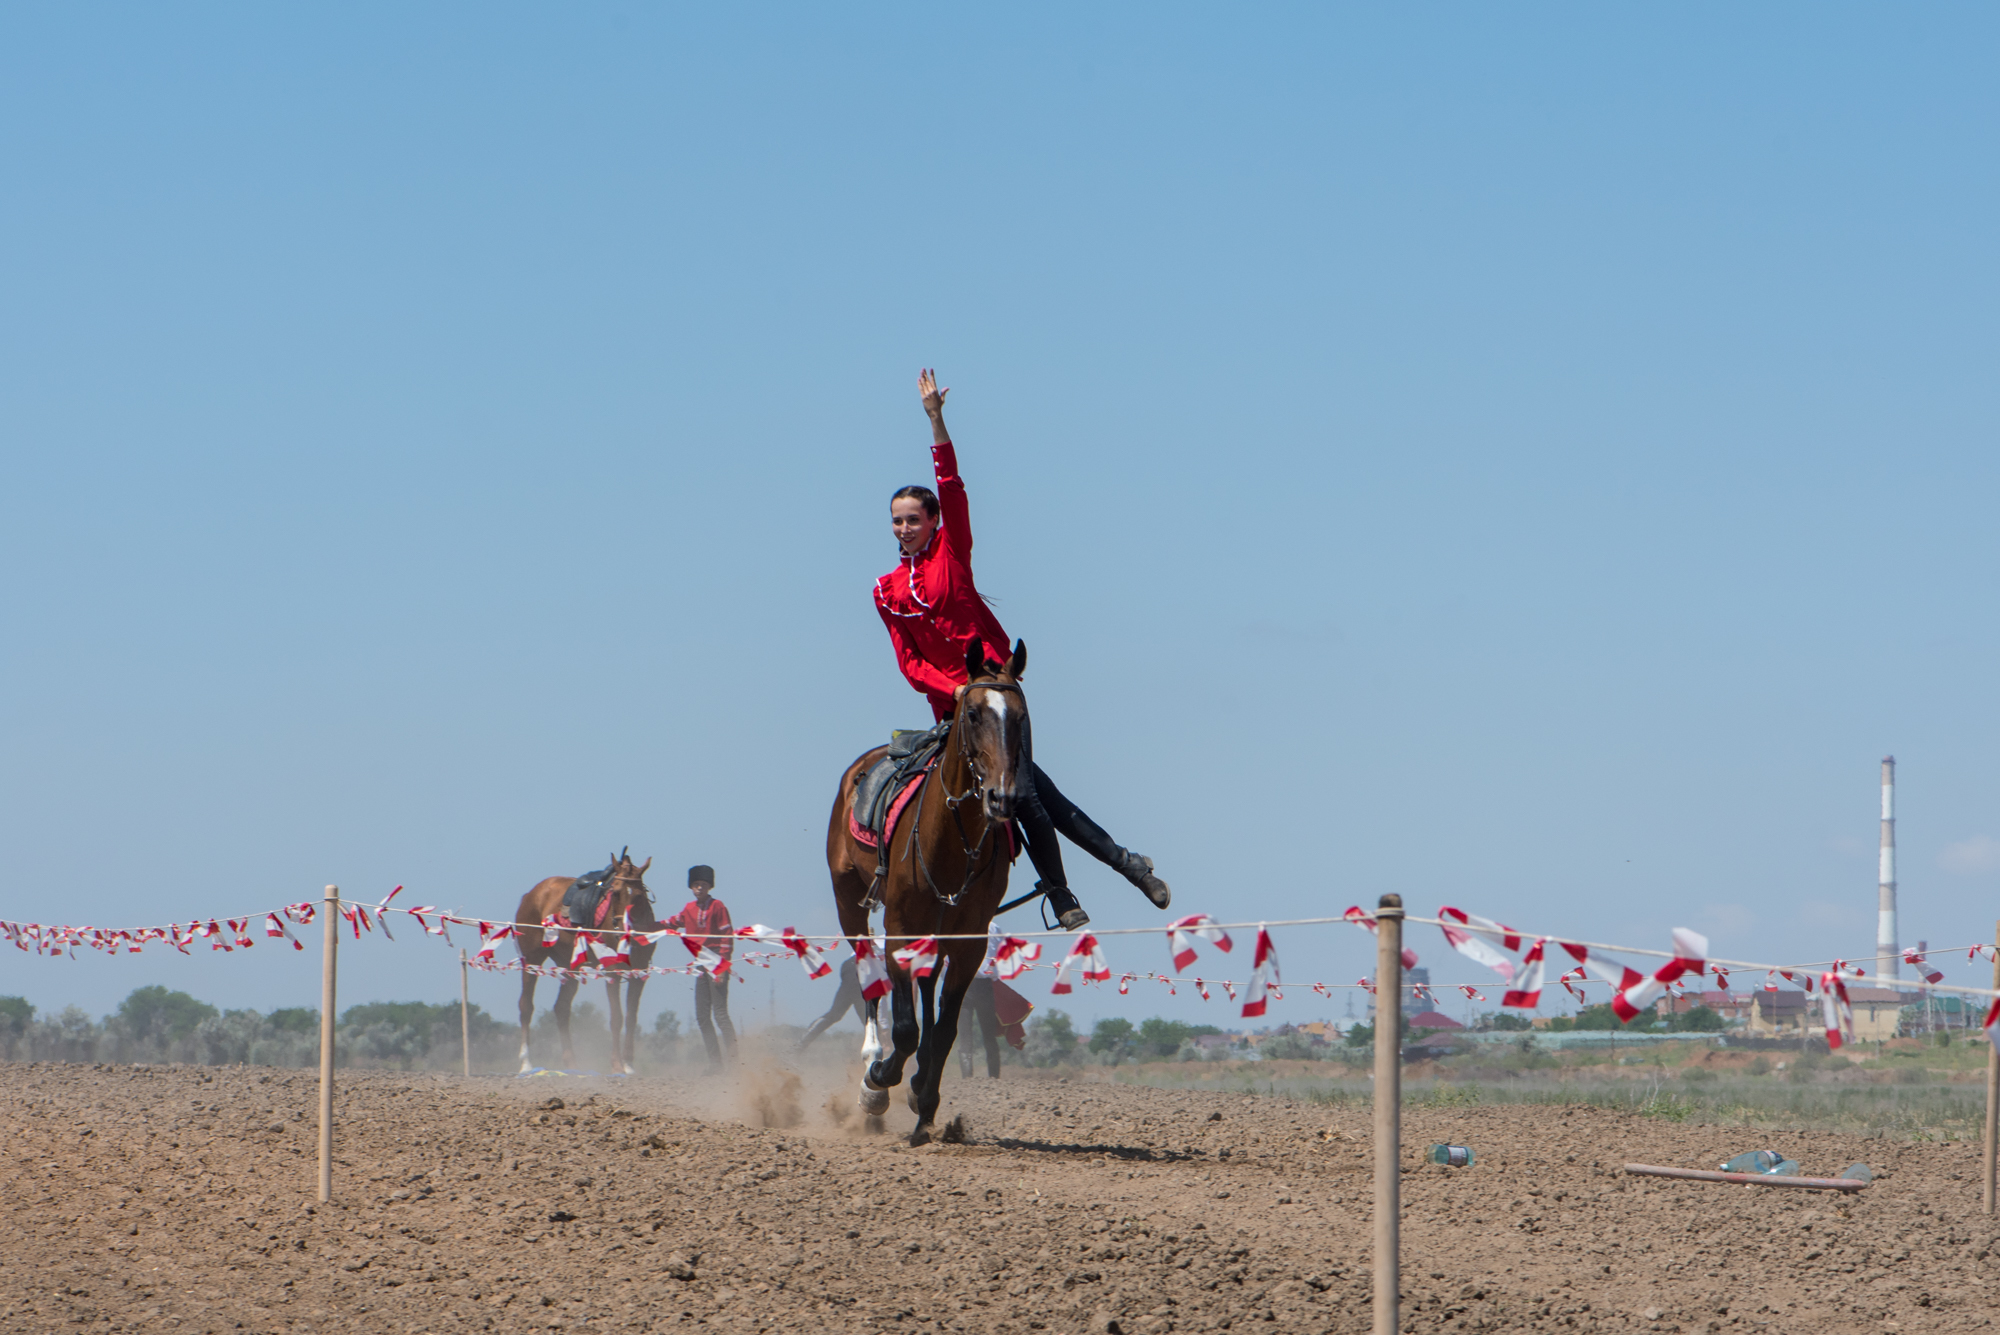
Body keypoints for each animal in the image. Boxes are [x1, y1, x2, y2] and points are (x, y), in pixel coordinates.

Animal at [508, 855, 664, 1071]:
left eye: (639, 896)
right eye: (615, 893)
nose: (622, 932)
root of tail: (531, 895)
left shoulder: (640, 973)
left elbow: (631, 1017)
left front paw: (629, 1064)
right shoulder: (612, 971)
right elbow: (617, 1017)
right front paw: (617, 1064)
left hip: (570, 966)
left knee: (561, 1008)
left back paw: (571, 1063)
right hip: (532, 960)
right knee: (526, 1006)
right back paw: (526, 1063)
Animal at [824, 639, 1032, 1143]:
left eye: (1020, 716)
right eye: (973, 713)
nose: (1002, 797)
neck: (949, 840)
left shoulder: (970, 941)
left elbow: (946, 1028)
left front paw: (926, 1099)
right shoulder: (899, 927)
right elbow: (905, 1027)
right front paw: (878, 1083)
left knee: (926, 988)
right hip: (848, 902)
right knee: (867, 975)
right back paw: (871, 1060)